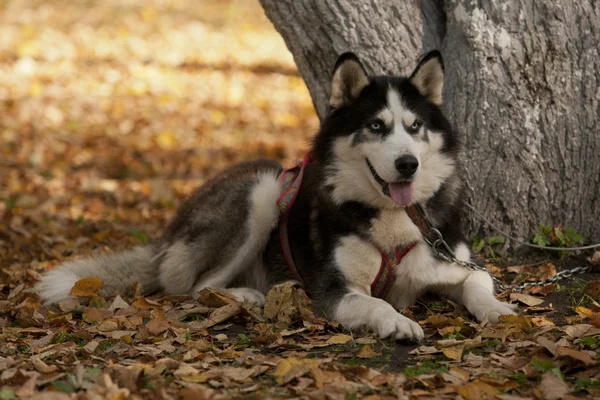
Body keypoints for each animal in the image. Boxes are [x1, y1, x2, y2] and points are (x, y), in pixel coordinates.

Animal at [37, 50, 516, 340]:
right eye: (376, 126)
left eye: (415, 127)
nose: (407, 164)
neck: (393, 220)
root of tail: (173, 227)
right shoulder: (334, 289)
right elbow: (376, 303)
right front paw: (398, 322)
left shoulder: (456, 261)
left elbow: (480, 283)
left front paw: (498, 311)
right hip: (264, 190)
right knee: (191, 288)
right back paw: (246, 296)